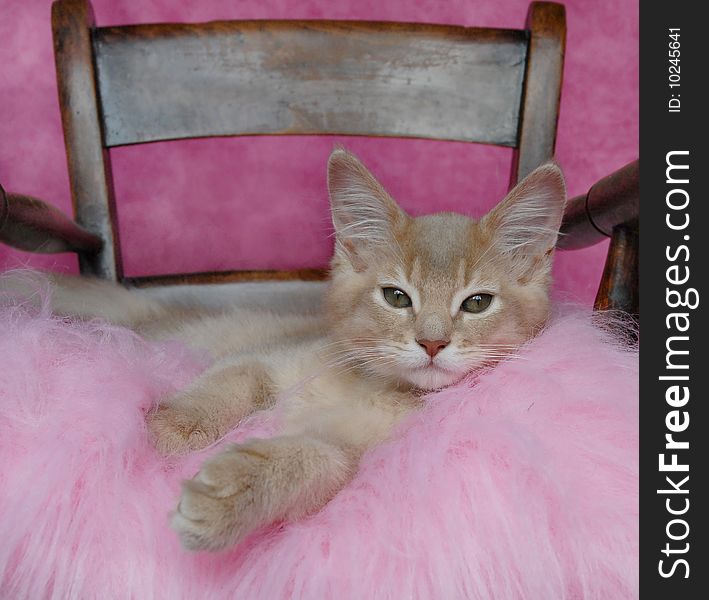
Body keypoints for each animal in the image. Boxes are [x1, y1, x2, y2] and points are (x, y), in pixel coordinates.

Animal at [40, 151, 568, 552]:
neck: (371, 384)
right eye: (397, 297)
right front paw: (173, 432)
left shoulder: (350, 448)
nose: (432, 343)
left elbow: (316, 459)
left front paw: (227, 498)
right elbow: (230, 384)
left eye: (477, 303)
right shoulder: (265, 359)